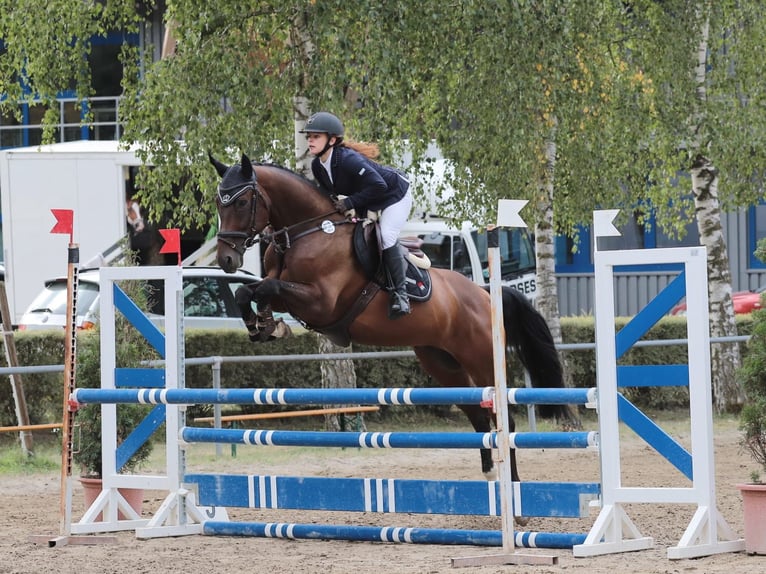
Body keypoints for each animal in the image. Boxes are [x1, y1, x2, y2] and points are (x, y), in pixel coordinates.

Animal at [207, 154, 580, 490]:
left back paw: (512, 487)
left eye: (242, 202)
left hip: (482, 359)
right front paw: (263, 325)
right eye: (218, 203)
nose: (226, 260)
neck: (307, 231)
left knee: (504, 418)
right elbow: (250, 290)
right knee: (477, 414)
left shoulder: (321, 302)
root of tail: (485, 294)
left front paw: (268, 324)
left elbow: (267, 288)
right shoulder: (288, 291)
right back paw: (490, 475)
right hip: (442, 363)